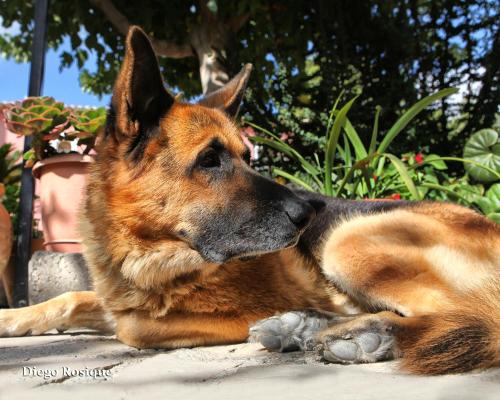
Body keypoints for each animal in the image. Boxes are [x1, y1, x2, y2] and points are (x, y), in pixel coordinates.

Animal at [0, 28, 500, 376]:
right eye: (210, 159)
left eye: (246, 157)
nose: (308, 214)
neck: (148, 250)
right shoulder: (111, 293)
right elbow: (69, 298)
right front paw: (13, 317)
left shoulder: (191, 315)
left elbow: (133, 326)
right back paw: (306, 326)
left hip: (348, 240)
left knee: (458, 312)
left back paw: (366, 334)